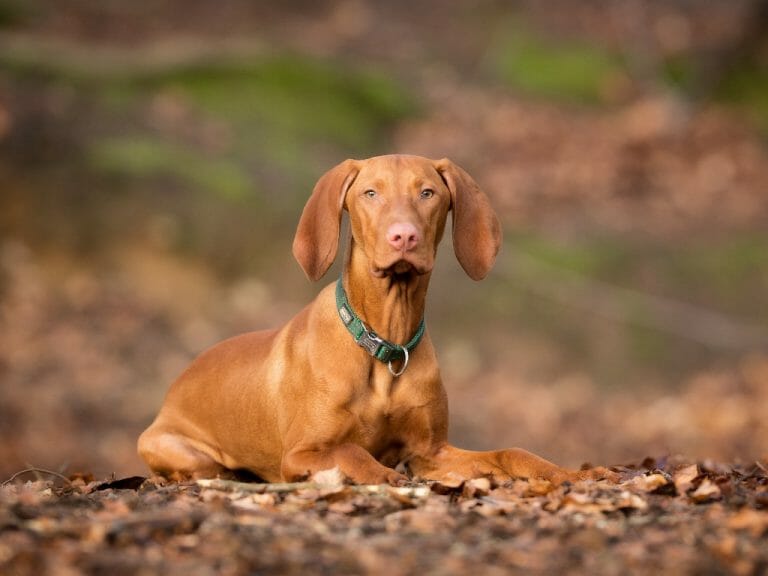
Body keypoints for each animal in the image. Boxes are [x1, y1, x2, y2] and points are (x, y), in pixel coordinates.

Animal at [138, 154, 616, 486]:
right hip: (171, 445)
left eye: (428, 193)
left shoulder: (431, 452)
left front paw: (570, 474)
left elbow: (513, 452)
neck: (386, 342)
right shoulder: (300, 453)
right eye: (370, 193)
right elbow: (351, 452)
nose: (403, 236)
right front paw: (383, 476)